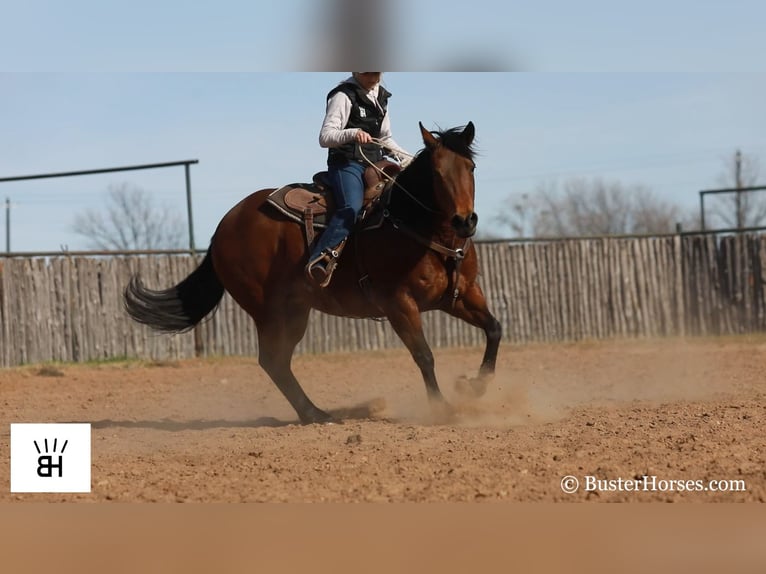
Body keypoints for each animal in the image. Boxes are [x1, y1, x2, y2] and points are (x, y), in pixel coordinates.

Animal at [126, 122, 504, 428]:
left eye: (470, 167)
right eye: (436, 174)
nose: (464, 220)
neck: (411, 222)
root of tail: (224, 225)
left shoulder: (461, 296)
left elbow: (494, 329)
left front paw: (474, 386)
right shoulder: (399, 304)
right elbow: (424, 355)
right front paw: (443, 409)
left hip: (295, 310)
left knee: (277, 362)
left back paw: (315, 413)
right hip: (271, 311)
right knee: (273, 361)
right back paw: (315, 414)